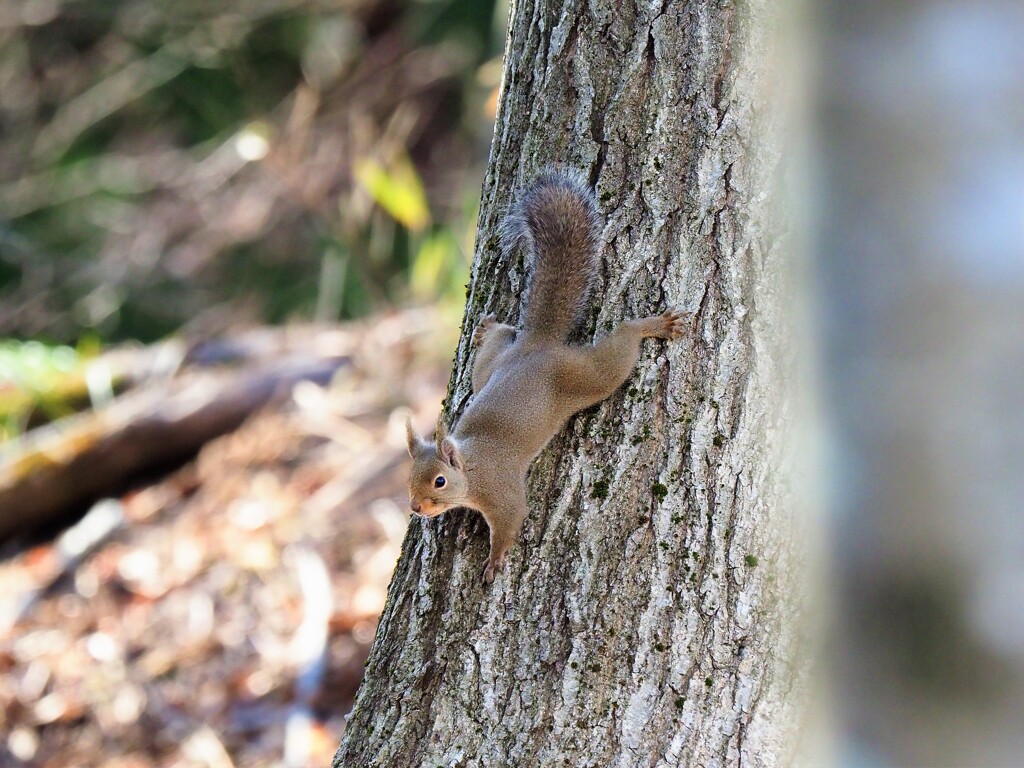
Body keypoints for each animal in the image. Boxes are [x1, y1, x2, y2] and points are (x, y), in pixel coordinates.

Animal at [403, 171, 684, 581]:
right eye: (410, 476)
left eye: (439, 481)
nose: (416, 507)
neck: (470, 467)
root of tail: (537, 345)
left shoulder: (502, 494)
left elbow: (510, 522)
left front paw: (494, 562)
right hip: (492, 367)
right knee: (496, 345)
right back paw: (488, 328)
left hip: (586, 375)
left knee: (619, 349)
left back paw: (652, 326)